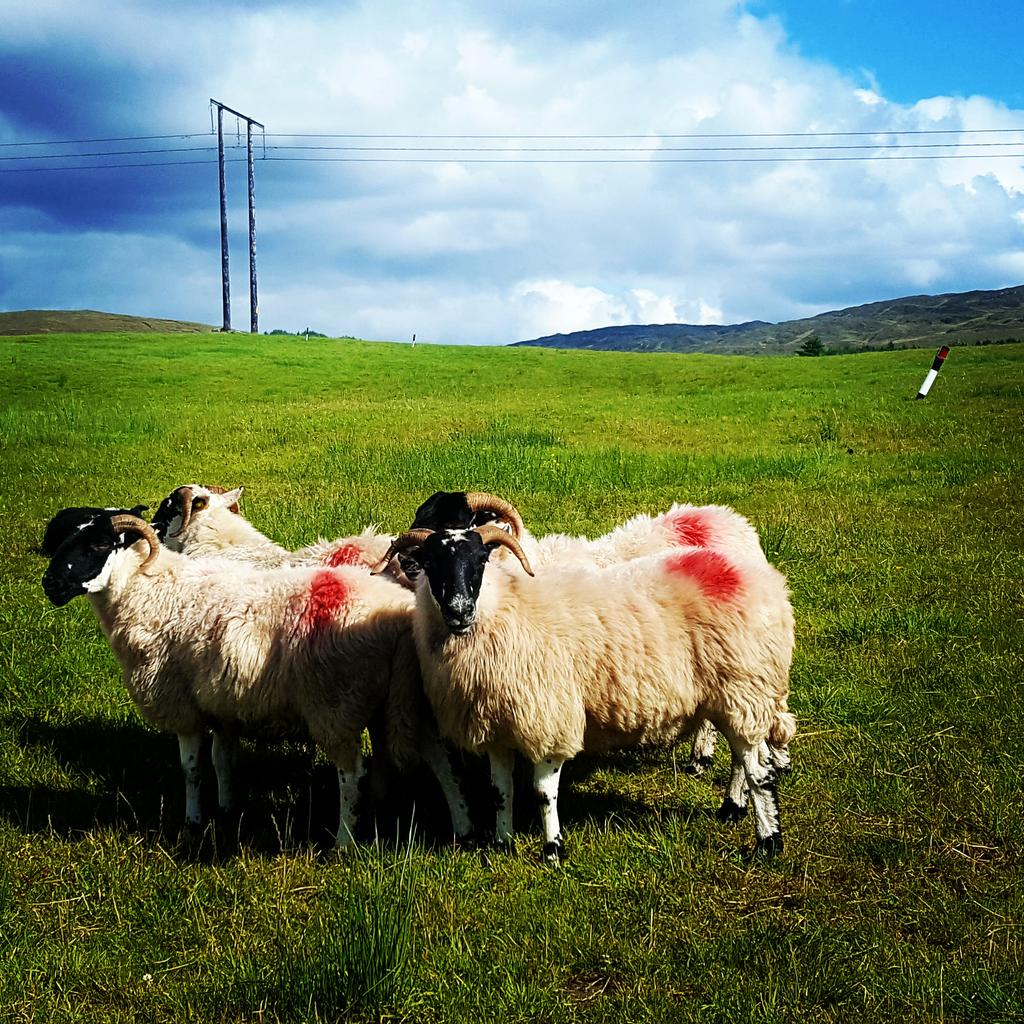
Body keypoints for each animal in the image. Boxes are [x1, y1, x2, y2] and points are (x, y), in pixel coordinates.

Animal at [41, 512, 472, 848]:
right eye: (64, 541)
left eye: (97, 545)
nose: (50, 585)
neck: (149, 590)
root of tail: (398, 614)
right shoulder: (221, 701)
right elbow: (221, 760)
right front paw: (227, 806)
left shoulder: (181, 704)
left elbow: (191, 769)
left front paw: (193, 822)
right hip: (405, 699)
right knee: (441, 762)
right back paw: (462, 825)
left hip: (336, 705)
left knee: (352, 776)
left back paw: (345, 842)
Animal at [374, 524, 796, 861]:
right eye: (431, 564)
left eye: (480, 561)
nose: (459, 611)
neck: (502, 611)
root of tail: (763, 580)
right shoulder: (495, 726)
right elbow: (500, 791)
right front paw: (502, 843)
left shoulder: (548, 717)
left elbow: (543, 793)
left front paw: (552, 850)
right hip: (734, 696)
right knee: (746, 758)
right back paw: (732, 808)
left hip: (743, 686)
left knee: (759, 771)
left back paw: (767, 841)